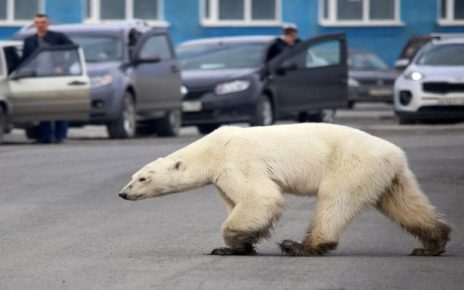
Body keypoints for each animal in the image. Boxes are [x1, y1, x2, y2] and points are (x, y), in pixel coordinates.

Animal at [118, 123, 450, 256]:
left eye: (143, 179)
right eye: (133, 176)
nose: (123, 193)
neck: (211, 149)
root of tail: (395, 152)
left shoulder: (237, 160)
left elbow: (260, 197)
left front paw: (232, 241)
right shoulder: (223, 175)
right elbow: (238, 201)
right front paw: (236, 246)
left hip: (352, 164)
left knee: (334, 200)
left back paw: (301, 246)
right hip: (388, 174)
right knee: (404, 204)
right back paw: (432, 243)